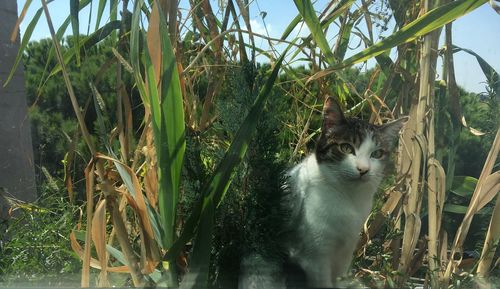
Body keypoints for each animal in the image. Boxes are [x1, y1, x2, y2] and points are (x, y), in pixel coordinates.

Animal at [238, 95, 406, 286]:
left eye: (377, 154)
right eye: (346, 148)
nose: (363, 169)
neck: (348, 198)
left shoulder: (345, 253)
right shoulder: (315, 258)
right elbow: (324, 282)